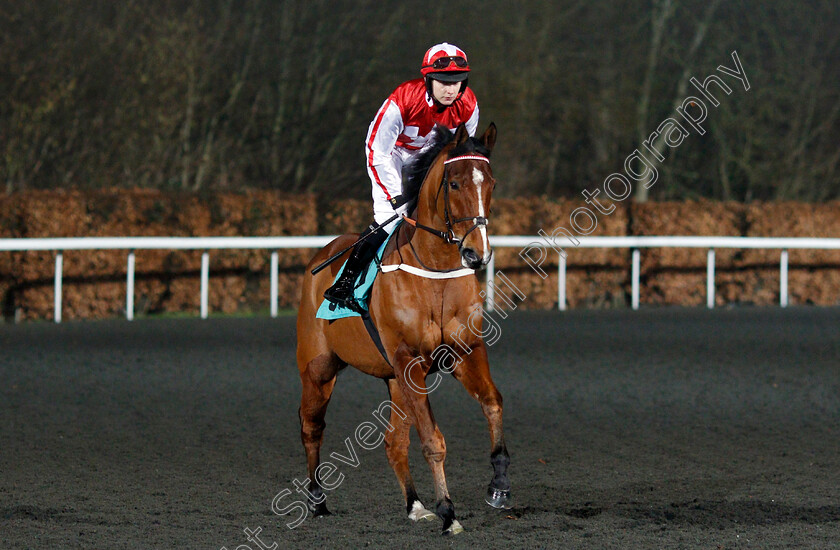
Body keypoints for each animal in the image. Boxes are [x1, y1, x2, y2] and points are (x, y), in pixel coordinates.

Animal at [298, 123, 508, 536]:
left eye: (490, 182)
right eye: (454, 184)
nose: (477, 253)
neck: (435, 271)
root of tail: (321, 255)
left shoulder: (465, 352)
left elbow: (493, 403)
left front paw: (498, 484)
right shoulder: (409, 359)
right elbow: (432, 440)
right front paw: (448, 512)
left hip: (395, 380)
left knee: (393, 441)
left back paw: (414, 504)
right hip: (318, 369)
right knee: (312, 427)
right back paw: (316, 501)